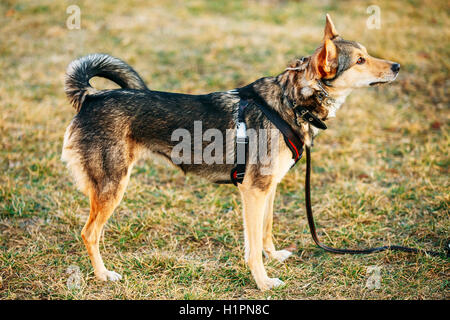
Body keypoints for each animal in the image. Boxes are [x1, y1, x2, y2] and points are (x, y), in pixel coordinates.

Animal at [61, 14, 400, 290]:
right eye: (359, 61)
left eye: (367, 55)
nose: (397, 66)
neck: (290, 102)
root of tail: (91, 98)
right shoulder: (253, 191)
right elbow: (252, 246)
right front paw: (263, 282)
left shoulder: (267, 188)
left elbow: (265, 231)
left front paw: (273, 256)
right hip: (112, 185)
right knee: (89, 233)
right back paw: (103, 275)